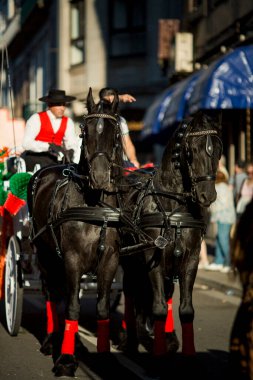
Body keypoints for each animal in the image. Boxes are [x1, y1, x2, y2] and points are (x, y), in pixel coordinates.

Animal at [26, 89, 125, 378]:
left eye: (115, 132)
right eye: (85, 130)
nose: (100, 176)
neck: (95, 206)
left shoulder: (110, 261)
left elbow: (102, 309)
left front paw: (104, 358)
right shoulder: (72, 258)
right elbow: (71, 307)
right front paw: (66, 360)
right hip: (45, 254)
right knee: (51, 293)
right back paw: (51, 340)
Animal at [119, 110, 222, 356]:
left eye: (218, 149)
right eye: (191, 151)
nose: (207, 195)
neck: (174, 205)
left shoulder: (190, 259)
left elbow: (185, 310)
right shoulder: (153, 258)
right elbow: (157, 308)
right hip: (129, 260)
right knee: (130, 291)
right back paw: (130, 338)